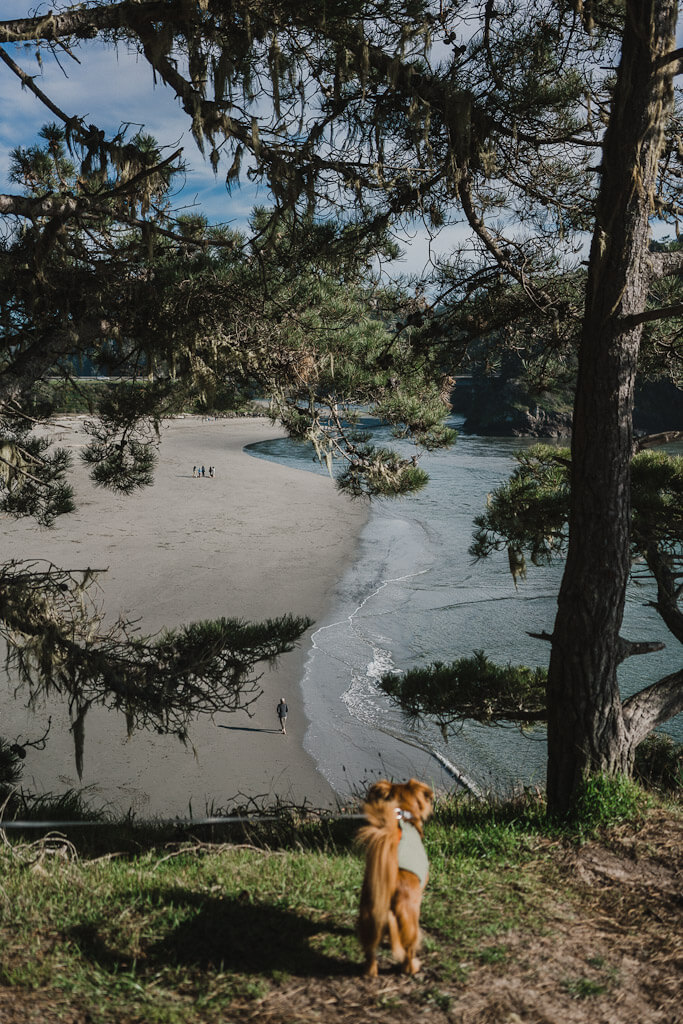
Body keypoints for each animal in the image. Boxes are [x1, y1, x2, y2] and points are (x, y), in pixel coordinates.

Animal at [358, 774, 432, 974]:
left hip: (369, 913)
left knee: (370, 948)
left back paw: (371, 971)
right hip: (409, 917)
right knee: (409, 947)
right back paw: (412, 967)